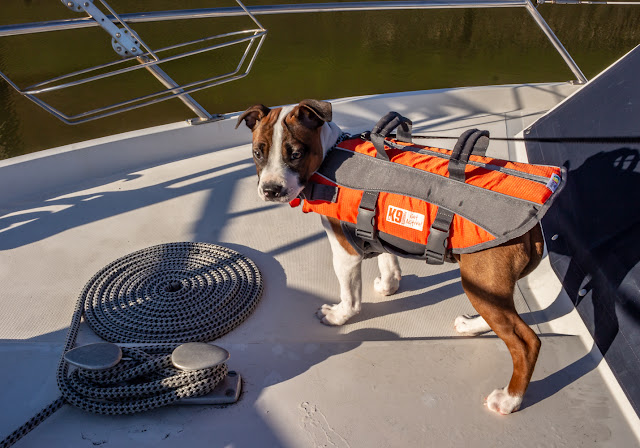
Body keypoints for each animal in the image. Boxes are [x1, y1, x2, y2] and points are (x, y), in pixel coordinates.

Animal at [238, 99, 544, 416]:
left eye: (296, 154)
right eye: (257, 153)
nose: (271, 190)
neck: (331, 152)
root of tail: (533, 227)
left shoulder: (345, 252)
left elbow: (350, 297)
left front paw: (338, 316)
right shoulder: (376, 229)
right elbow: (387, 260)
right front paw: (388, 286)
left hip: (482, 281)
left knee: (525, 342)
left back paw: (509, 399)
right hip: (486, 287)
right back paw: (472, 326)